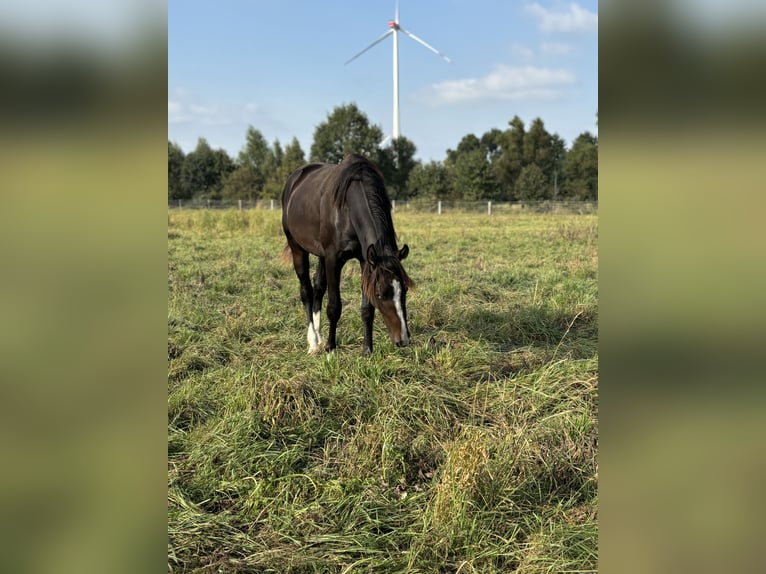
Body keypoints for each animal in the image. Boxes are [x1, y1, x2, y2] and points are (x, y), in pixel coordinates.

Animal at [282, 155, 414, 358]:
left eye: (404, 290)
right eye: (380, 294)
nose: (403, 339)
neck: (347, 209)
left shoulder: (366, 261)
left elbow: (367, 309)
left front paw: (367, 350)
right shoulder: (333, 259)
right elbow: (334, 306)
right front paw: (331, 349)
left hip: (321, 254)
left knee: (318, 287)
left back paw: (319, 336)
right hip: (297, 247)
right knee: (306, 291)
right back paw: (313, 342)